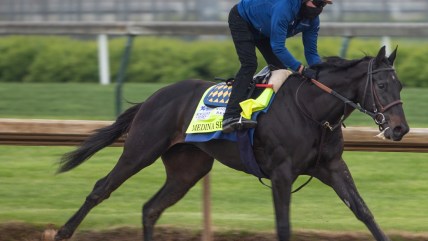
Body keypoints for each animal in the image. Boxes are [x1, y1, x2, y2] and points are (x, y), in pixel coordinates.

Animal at [53, 45, 408, 241]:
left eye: (400, 85)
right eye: (380, 84)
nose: (400, 128)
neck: (311, 110)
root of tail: (153, 98)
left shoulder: (331, 167)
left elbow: (364, 212)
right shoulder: (281, 173)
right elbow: (284, 226)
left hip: (188, 168)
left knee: (151, 209)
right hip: (142, 149)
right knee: (102, 188)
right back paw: (63, 231)